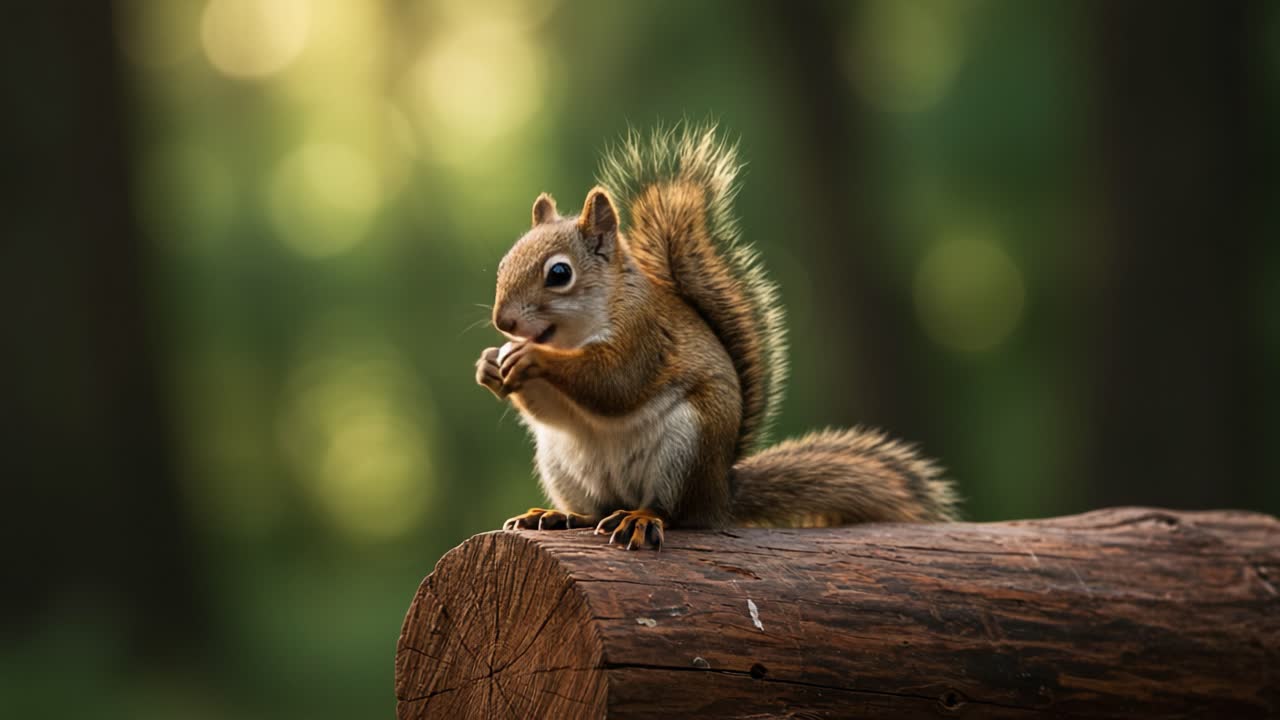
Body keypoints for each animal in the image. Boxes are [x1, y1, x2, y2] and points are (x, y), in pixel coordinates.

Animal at [475, 123, 957, 550]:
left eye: (559, 274)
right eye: (503, 263)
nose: (504, 322)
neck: (577, 330)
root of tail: (719, 495)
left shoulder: (644, 336)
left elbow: (613, 382)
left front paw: (533, 359)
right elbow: (552, 409)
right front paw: (489, 366)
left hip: (686, 447)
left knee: (670, 512)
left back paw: (640, 519)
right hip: (561, 461)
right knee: (596, 508)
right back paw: (559, 515)